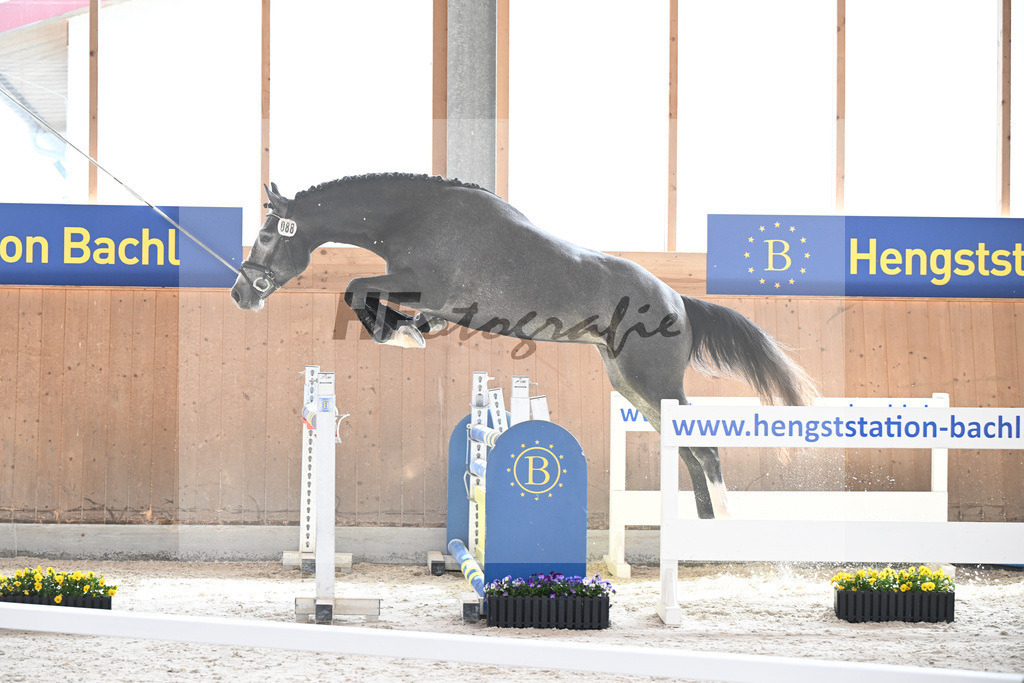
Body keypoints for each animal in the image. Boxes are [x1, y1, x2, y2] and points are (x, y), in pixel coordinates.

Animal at [230, 172, 816, 519]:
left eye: (266, 235)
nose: (241, 293)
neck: (414, 215)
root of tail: (679, 301)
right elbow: (374, 297)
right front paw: (413, 330)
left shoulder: (427, 286)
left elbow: (356, 287)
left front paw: (401, 334)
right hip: (631, 386)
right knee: (690, 451)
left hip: (654, 383)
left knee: (706, 449)